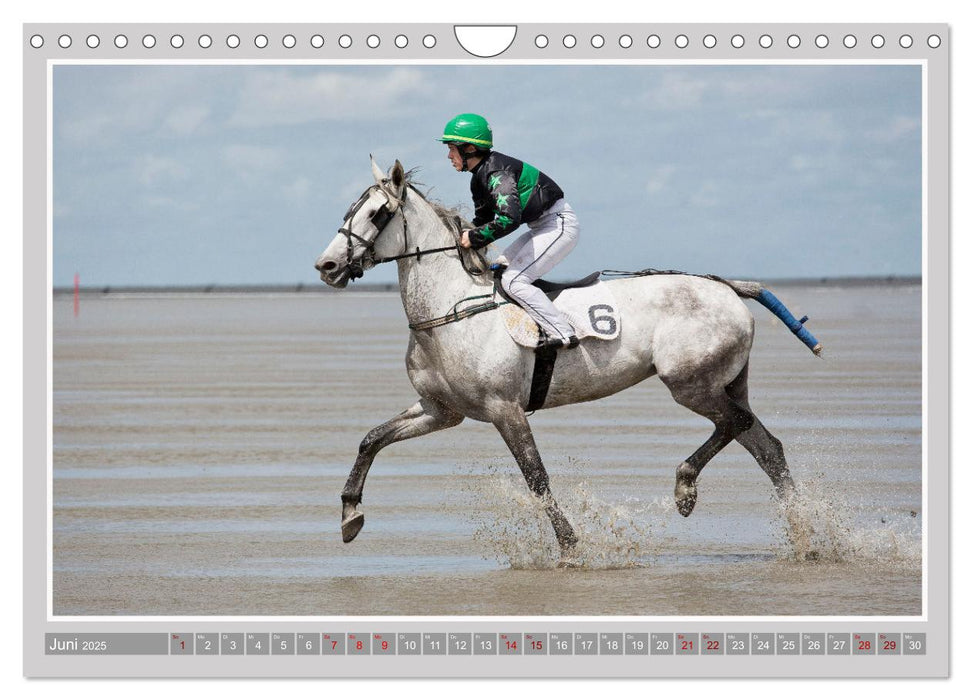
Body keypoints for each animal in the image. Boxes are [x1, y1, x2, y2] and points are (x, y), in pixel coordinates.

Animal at [316, 160, 816, 564]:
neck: (451, 309)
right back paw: (806, 538)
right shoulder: (443, 410)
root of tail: (729, 287)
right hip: (723, 382)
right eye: (347, 211)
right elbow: (371, 439)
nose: (327, 266)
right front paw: (350, 514)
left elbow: (536, 478)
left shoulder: (505, 409)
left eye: (377, 213)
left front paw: (571, 547)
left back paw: (686, 487)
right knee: (766, 446)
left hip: (690, 383)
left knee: (736, 424)